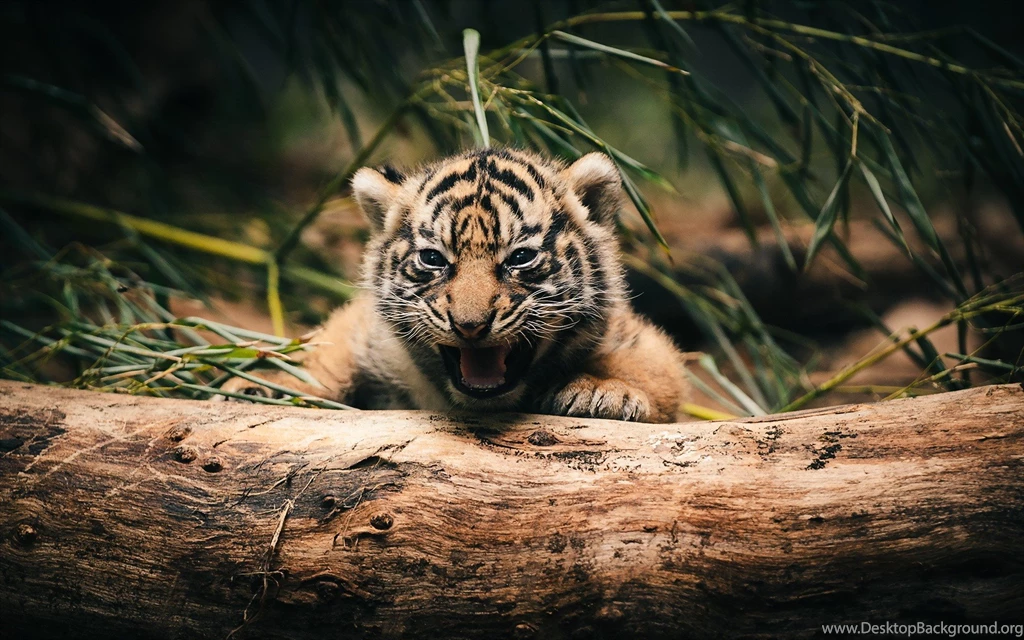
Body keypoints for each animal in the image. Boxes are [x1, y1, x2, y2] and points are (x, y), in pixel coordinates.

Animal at [224, 148, 689, 422]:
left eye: (520, 257)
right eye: (433, 259)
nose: (470, 325)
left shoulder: (637, 338)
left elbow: (654, 368)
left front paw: (601, 391)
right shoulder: (364, 329)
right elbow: (325, 352)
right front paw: (262, 384)